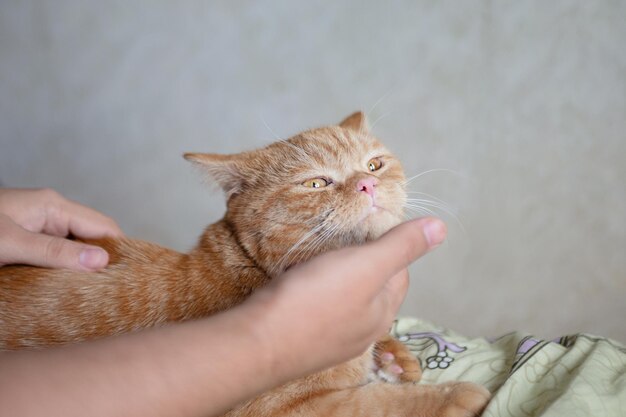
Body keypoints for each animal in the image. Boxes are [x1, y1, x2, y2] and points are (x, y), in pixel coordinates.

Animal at [0, 112, 488, 414]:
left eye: (374, 164)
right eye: (316, 183)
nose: (367, 184)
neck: (250, 272)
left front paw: (394, 356)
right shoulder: (284, 409)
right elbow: (375, 405)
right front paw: (450, 396)